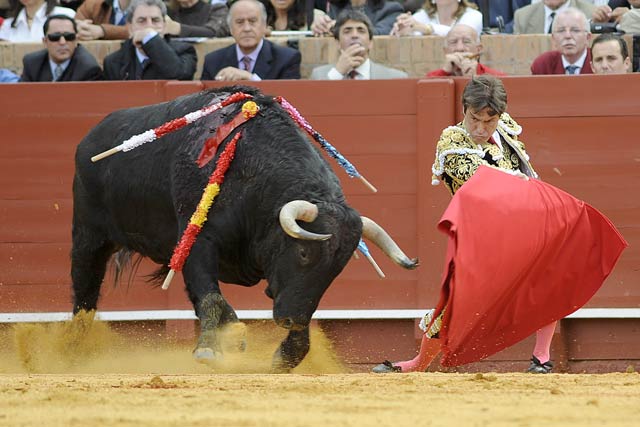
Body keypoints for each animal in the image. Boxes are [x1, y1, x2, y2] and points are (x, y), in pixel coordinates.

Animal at [71, 86, 420, 372]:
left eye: (337, 268)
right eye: (303, 252)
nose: (290, 319)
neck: (254, 175)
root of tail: (88, 139)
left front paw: (285, 356)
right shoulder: (198, 241)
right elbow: (209, 294)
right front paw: (211, 349)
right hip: (89, 236)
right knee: (84, 293)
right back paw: (76, 351)